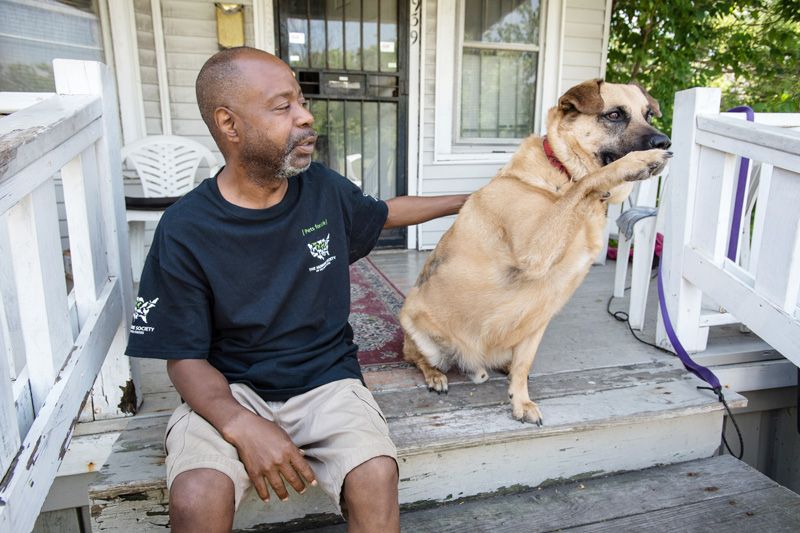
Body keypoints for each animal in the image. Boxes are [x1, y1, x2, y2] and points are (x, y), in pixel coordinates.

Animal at [398, 78, 668, 424]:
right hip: (416, 325)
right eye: (614, 114)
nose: (665, 141)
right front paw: (635, 163)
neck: (562, 173)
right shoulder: (535, 249)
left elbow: (524, 363)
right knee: (415, 358)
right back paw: (434, 375)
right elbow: (589, 180)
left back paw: (503, 366)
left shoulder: (539, 316)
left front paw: (520, 400)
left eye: (648, 114)